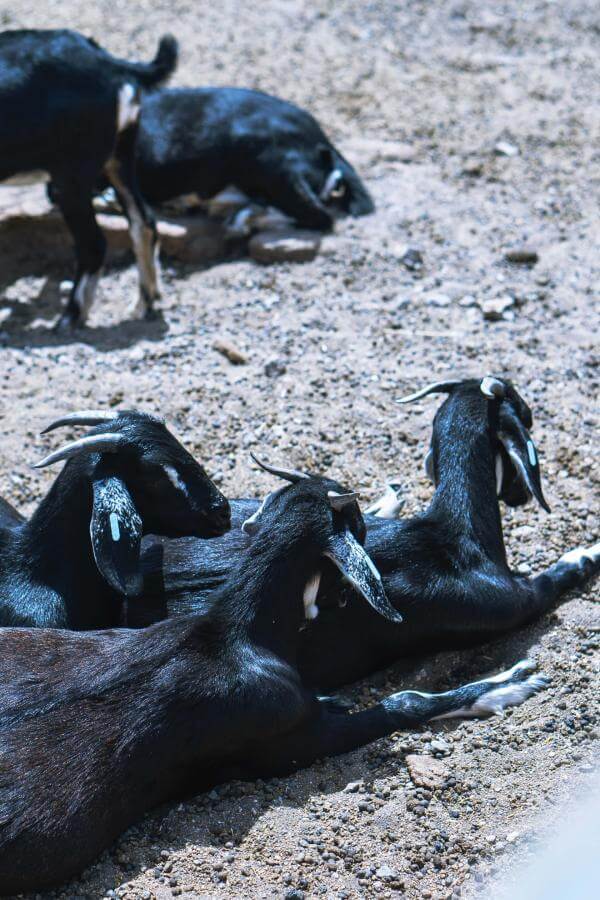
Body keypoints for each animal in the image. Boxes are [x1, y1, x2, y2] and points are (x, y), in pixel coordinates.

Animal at [0, 29, 177, 328]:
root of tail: (107, 63)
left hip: (72, 176)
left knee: (94, 244)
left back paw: (72, 314)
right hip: (119, 157)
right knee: (144, 222)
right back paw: (144, 302)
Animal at [136, 374, 600, 688]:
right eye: (528, 415)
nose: (520, 496)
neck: (457, 533)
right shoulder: (516, 602)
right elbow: (554, 578)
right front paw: (588, 553)